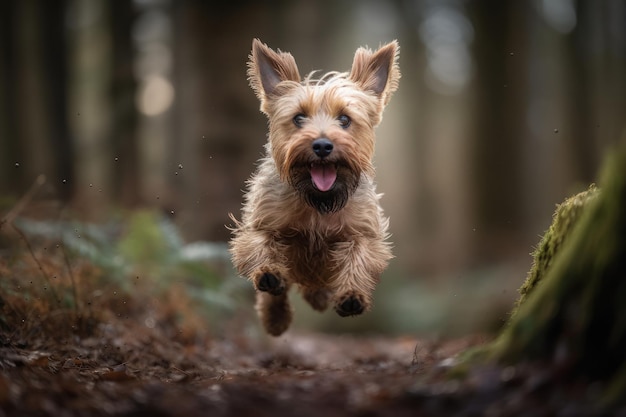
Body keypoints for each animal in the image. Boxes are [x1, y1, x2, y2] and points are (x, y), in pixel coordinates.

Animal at [229, 39, 400, 336]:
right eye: (299, 118)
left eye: (344, 119)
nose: (322, 145)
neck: (318, 199)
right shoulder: (262, 221)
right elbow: (260, 245)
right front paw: (269, 273)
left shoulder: (362, 231)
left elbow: (359, 256)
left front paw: (352, 296)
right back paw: (276, 316)